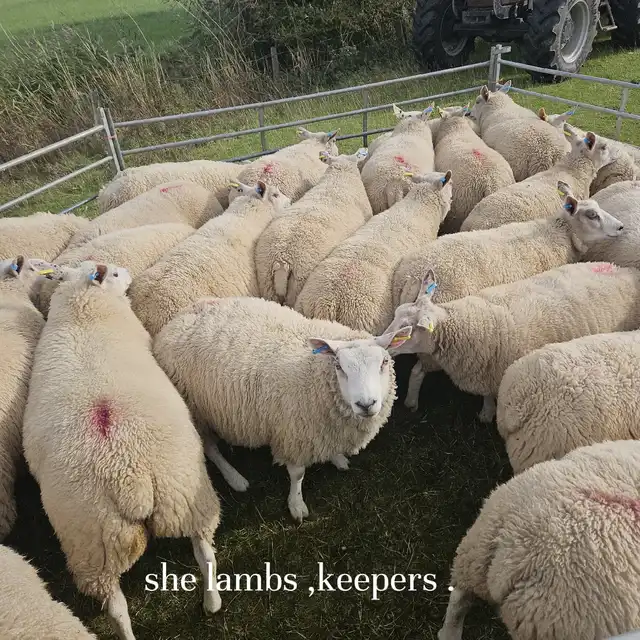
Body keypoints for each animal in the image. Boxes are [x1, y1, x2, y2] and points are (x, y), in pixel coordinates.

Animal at [23, 261, 223, 640]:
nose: (128, 273)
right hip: (119, 533)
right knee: (198, 557)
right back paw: (211, 602)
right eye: (114, 274)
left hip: (110, 536)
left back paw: (208, 604)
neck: (83, 311)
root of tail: (129, 479)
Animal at [153, 296, 412, 522]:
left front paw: (337, 458)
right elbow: (297, 475)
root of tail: (179, 317)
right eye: (339, 366)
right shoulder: (293, 433)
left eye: (384, 362)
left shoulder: (321, 431)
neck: (313, 373)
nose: (366, 404)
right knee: (209, 448)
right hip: (196, 410)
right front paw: (296, 505)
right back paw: (235, 478)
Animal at [384, 262, 640, 424]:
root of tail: (626, 269)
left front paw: (487, 414)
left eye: (406, 330)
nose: (381, 344)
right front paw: (486, 413)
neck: (472, 323)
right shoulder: (487, 371)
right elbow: (487, 394)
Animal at [392, 191, 625, 411]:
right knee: (418, 371)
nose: (621, 227)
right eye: (592, 215)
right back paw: (412, 403)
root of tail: (411, 276)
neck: (560, 233)